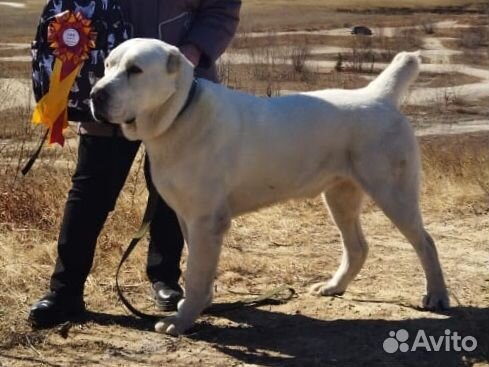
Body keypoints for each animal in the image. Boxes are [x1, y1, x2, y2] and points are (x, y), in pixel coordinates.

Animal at [89, 38, 448, 336]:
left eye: (135, 70)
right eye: (107, 65)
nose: (95, 94)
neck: (179, 114)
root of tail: (377, 96)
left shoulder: (206, 220)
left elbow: (195, 272)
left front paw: (182, 320)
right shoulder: (188, 217)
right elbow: (198, 268)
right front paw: (199, 304)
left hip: (393, 192)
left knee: (426, 242)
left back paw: (437, 296)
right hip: (340, 196)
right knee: (358, 247)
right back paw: (333, 286)